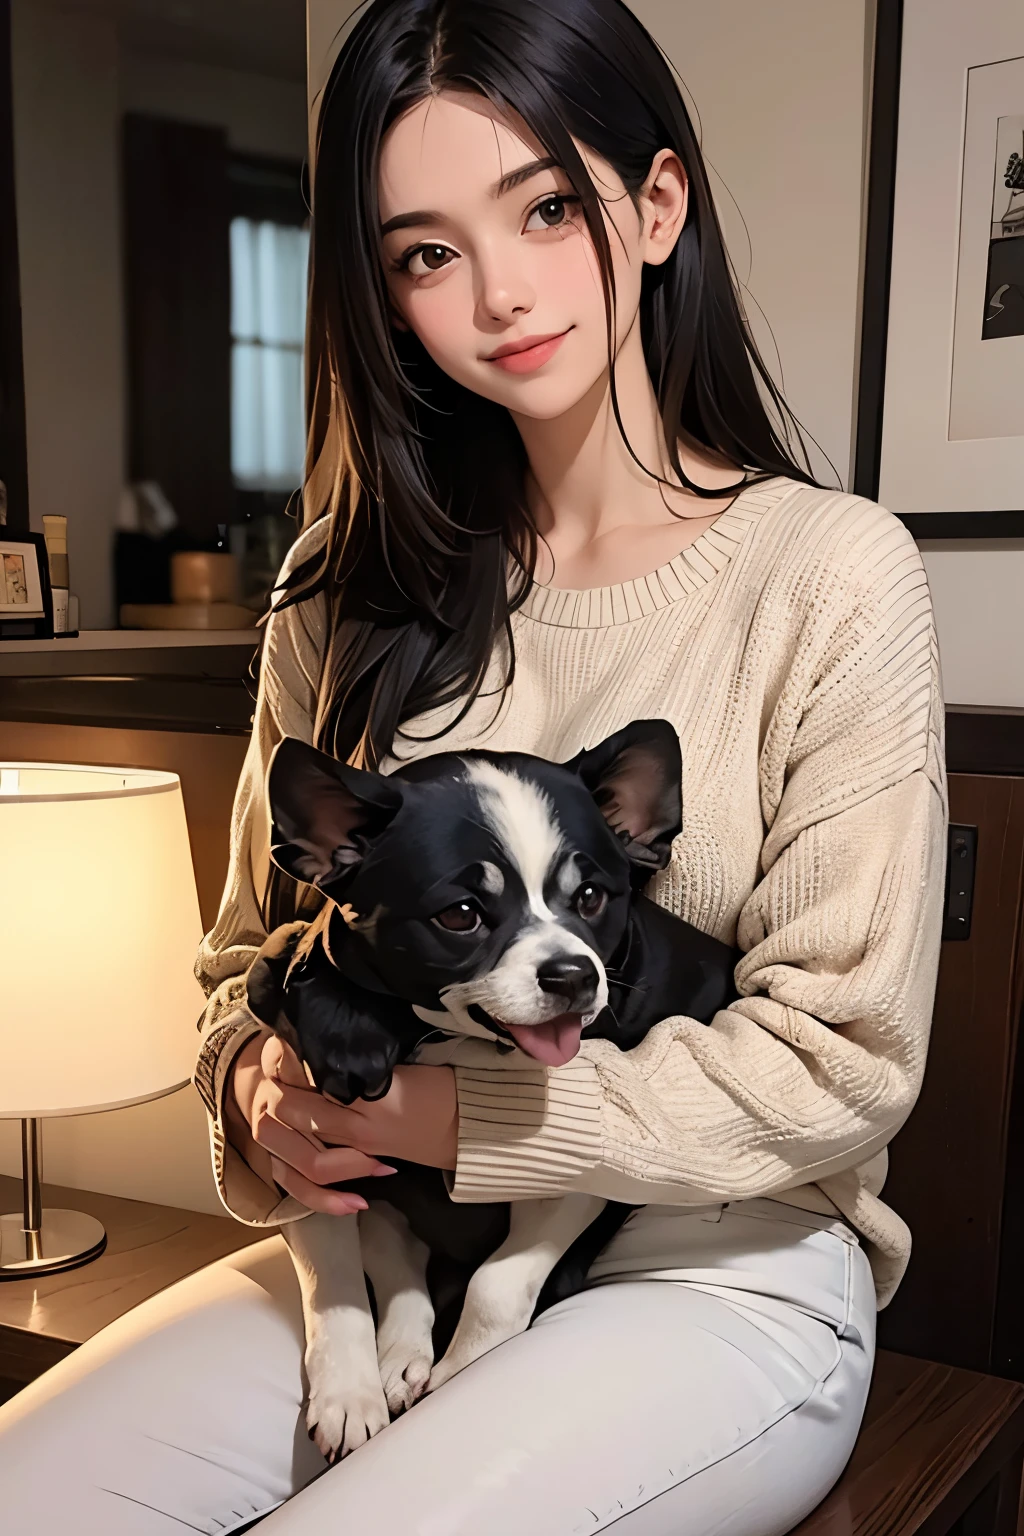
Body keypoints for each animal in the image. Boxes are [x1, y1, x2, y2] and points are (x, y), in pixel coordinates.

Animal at [244, 724, 733, 1456]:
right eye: (461, 916)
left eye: (591, 899)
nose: (573, 974)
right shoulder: (310, 1165)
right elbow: (338, 1287)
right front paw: (353, 1392)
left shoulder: (572, 1181)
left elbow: (495, 1288)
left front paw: (454, 1378)